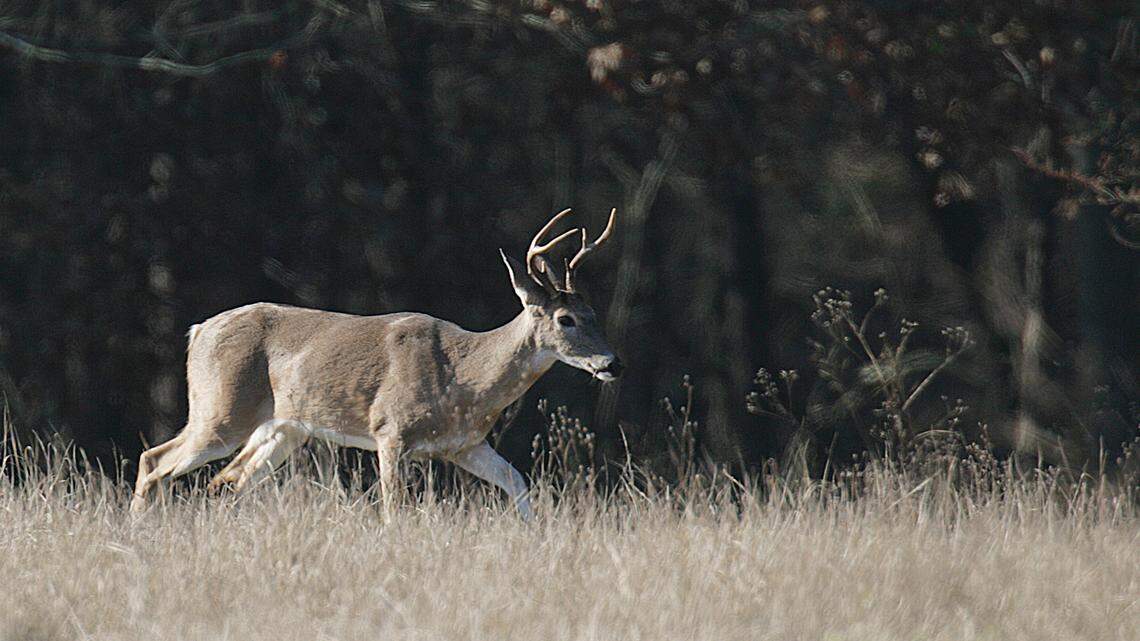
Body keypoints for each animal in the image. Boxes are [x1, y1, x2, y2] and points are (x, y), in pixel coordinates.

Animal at [130, 208, 622, 520]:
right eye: (565, 319)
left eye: (595, 312)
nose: (613, 363)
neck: (465, 376)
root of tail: (197, 330)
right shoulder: (391, 429)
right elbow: (393, 509)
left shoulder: (465, 444)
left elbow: (518, 483)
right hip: (221, 409)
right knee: (155, 460)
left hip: (283, 427)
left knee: (229, 480)